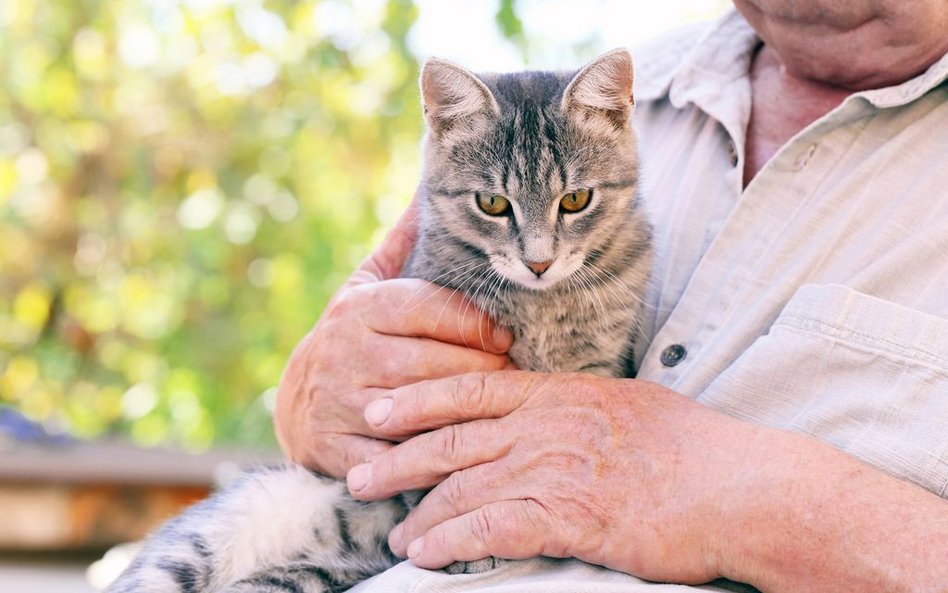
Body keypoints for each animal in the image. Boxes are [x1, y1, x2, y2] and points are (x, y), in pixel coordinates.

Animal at [105, 48, 652, 592]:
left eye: (576, 199)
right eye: (493, 203)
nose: (539, 263)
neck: (541, 304)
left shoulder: (599, 365)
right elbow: (436, 473)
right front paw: (463, 547)